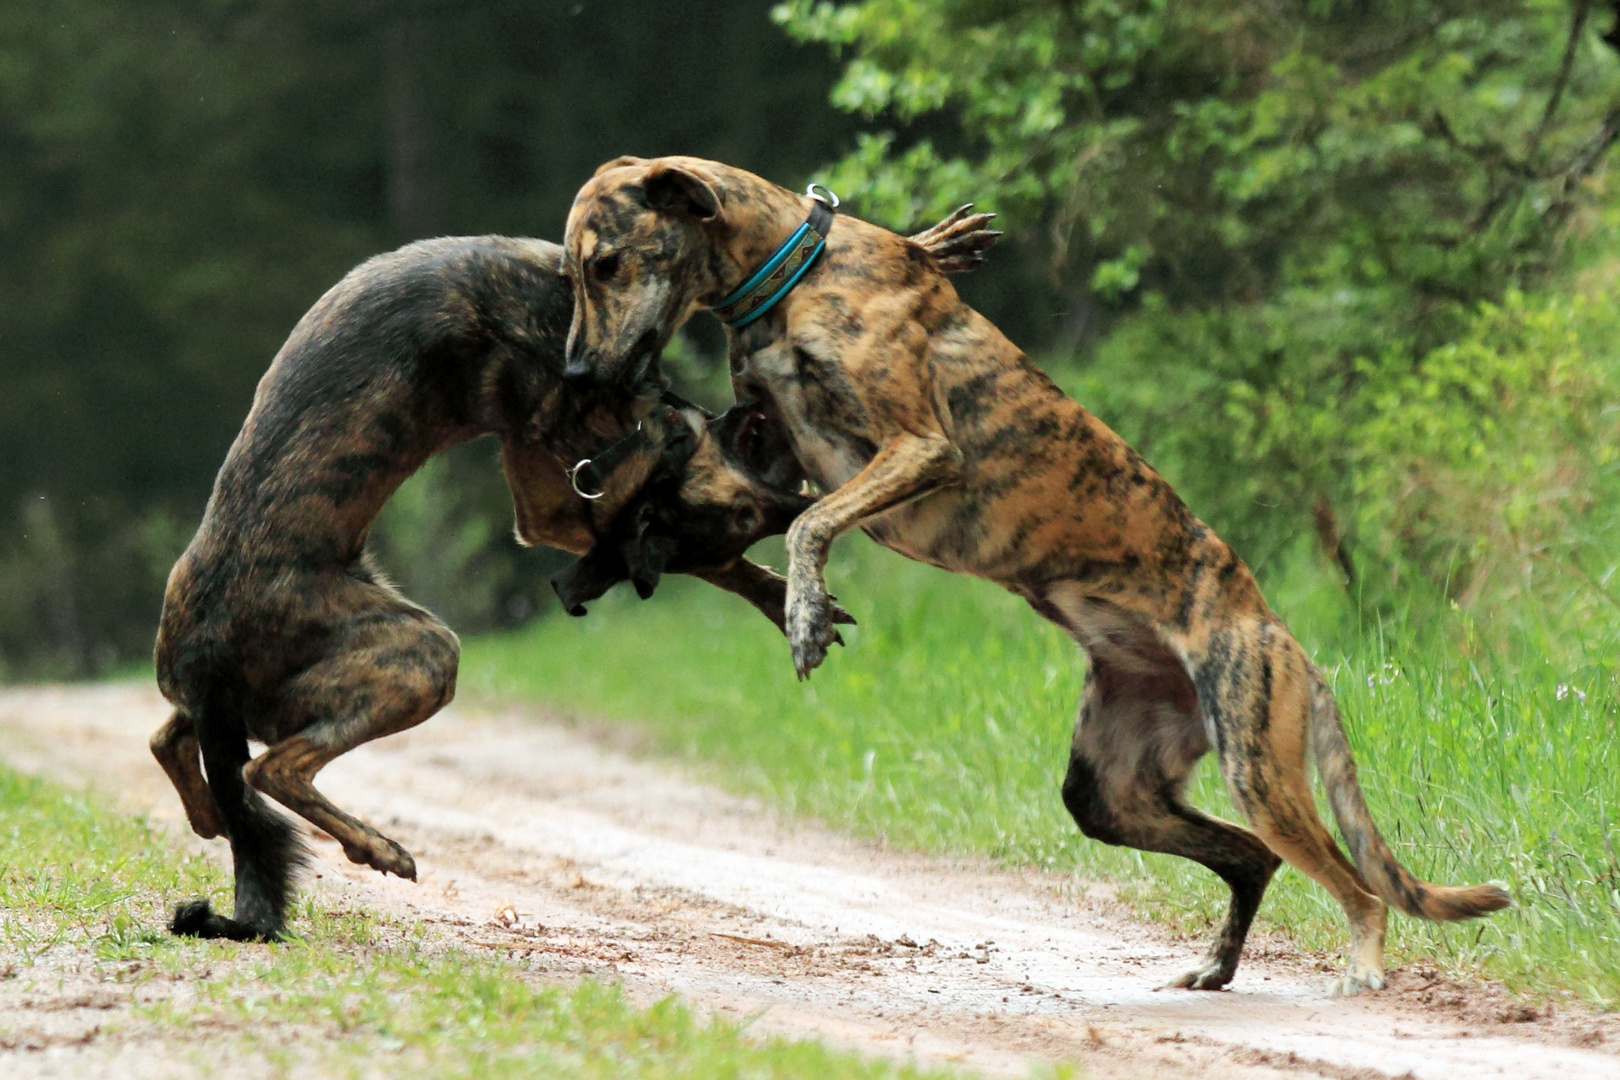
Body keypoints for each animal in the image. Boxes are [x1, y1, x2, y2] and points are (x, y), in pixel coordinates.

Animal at [149, 215, 997, 939]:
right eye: (742, 512)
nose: (806, 503)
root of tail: (205, 652)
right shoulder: (565, 481)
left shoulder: (555, 493)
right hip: (421, 654)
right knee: (273, 765)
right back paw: (375, 846)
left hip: (253, 688)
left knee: (174, 740)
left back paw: (212, 815)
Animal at [563, 153, 1509, 997]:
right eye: (573, 268)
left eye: (605, 264)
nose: (575, 374)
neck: (793, 271)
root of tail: (1283, 640)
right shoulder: (776, 446)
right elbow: (782, 510)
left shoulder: (915, 449)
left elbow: (806, 525)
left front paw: (804, 617)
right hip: (1112, 789)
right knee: (1248, 858)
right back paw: (1217, 964)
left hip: (1258, 770)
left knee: (1354, 885)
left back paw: (1363, 964)